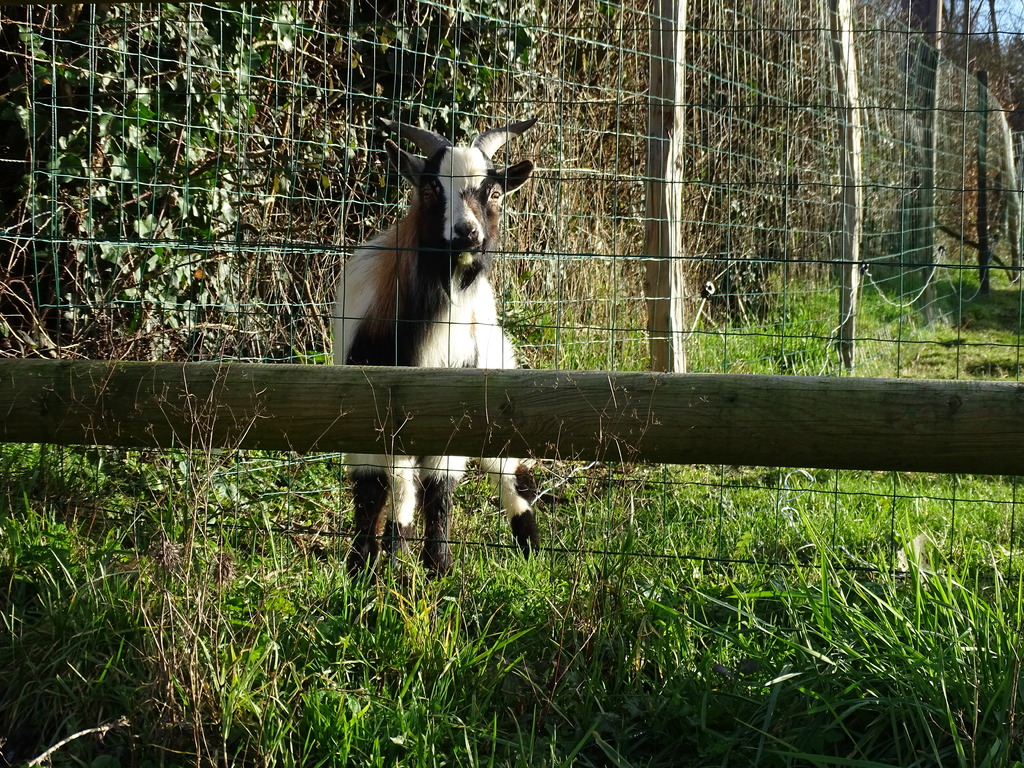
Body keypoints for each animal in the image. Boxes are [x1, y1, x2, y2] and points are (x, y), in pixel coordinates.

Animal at [333, 116, 541, 576]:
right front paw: (365, 565)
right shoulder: (365, 406)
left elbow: (438, 486)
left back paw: (530, 542)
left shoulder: (455, 405)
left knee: (508, 470)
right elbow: (375, 487)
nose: (466, 234)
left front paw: (437, 564)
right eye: (430, 189)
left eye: (493, 192)